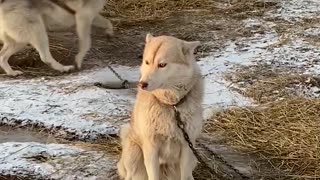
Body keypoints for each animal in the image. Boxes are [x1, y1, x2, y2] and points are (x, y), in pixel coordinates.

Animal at [117, 34, 202, 180]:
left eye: (162, 65)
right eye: (147, 62)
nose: (142, 84)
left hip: (193, 157)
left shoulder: (187, 147)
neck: (171, 105)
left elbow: (185, 175)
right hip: (133, 154)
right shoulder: (151, 149)